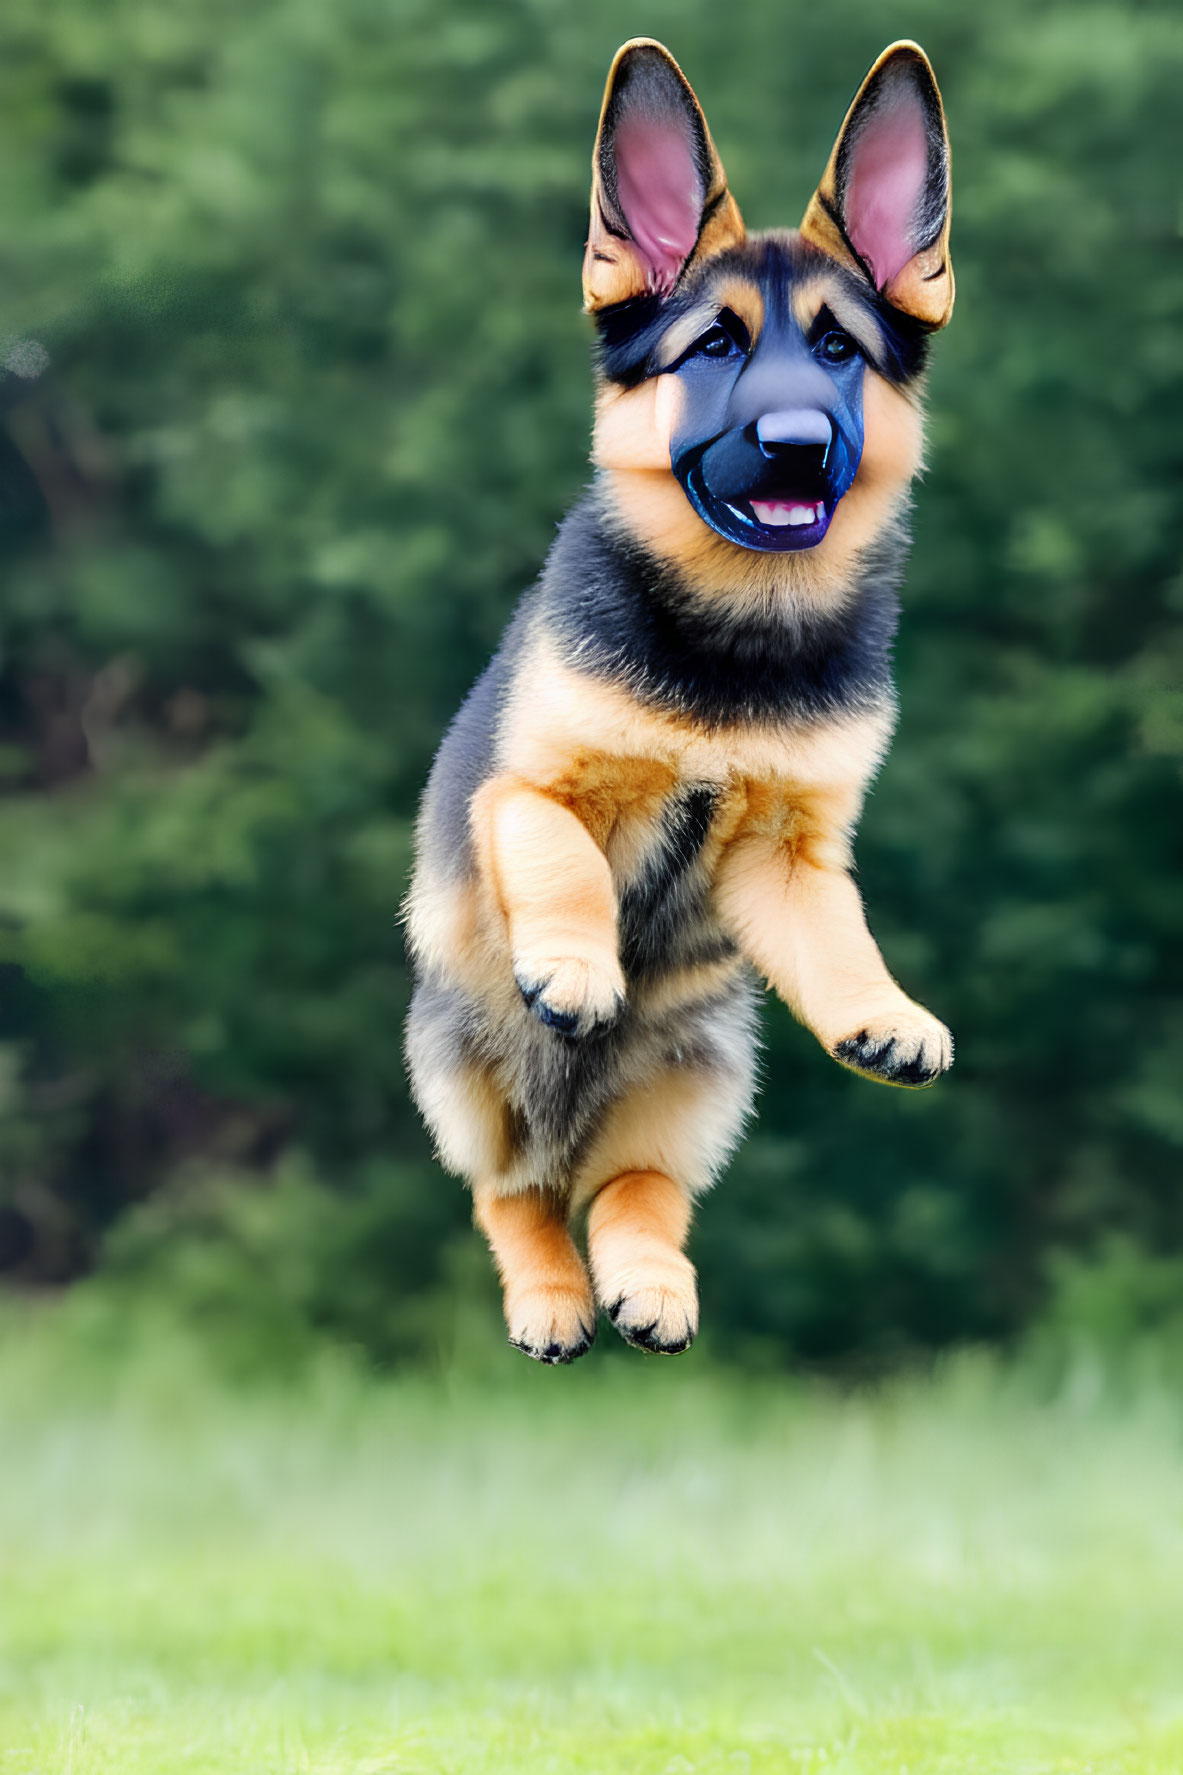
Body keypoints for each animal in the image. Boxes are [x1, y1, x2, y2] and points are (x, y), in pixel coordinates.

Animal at [404, 41, 952, 1363]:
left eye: (841, 349)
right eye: (711, 347)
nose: (798, 444)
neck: (734, 645)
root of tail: (566, 1129)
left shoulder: (789, 853)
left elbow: (840, 938)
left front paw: (882, 1012)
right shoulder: (526, 791)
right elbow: (564, 858)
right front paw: (578, 965)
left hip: (699, 1082)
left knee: (634, 1190)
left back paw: (649, 1287)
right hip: (463, 1081)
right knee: (512, 1197)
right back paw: (550, 1297)